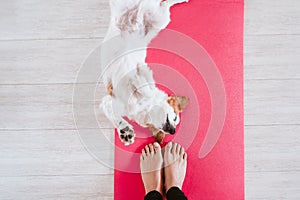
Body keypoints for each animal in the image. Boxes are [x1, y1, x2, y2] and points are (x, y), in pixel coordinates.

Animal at [99, 0, 189, 145]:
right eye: (175, 117)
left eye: (162, 132)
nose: (173, 131)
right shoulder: (111, 97)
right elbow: (145, 86)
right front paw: (125, 130)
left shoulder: (111, 100)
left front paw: (125, 132)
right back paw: (137, 15)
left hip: (160, 18)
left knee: (164, 4)